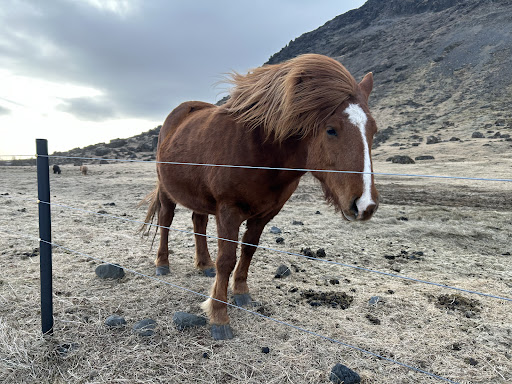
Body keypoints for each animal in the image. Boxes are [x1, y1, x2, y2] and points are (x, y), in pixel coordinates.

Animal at [143, 53, 380, 340]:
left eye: (373, 130)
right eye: (331, 129)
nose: (365, 204)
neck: (261, 151)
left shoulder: (266, 213)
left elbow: (249, 250)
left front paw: (241, 293)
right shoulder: (228, 210)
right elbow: (227, 259)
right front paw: (219, 317)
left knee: (198, 222)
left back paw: (204, 264)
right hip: (167, 191)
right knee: (165, 222)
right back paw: (162, 264)